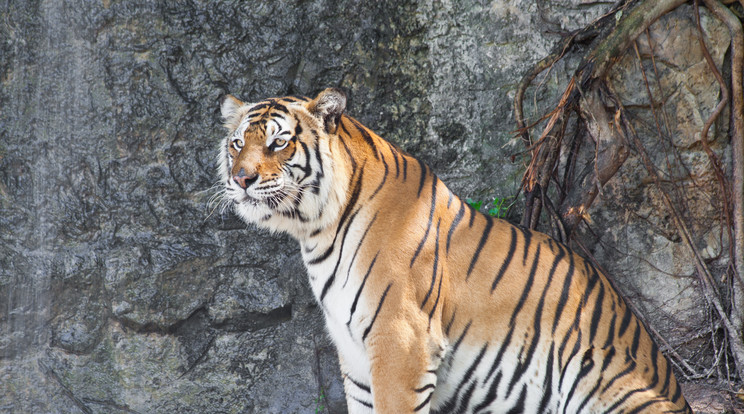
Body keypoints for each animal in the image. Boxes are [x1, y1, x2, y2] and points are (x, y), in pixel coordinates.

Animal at [215, 88, 692, 414]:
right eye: (238, 143)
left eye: (278, 142)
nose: (241, 179)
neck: (316, 229)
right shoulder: (354, 354)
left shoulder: (401, 340)